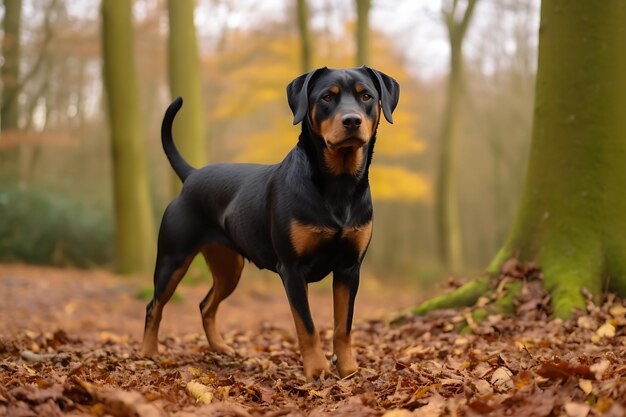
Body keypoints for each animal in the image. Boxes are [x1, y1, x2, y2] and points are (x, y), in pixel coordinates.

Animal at [139, 66, 398, 380]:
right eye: (326, 97)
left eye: (366, 96)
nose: (352, 120)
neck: (339, 185)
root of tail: (191, 176)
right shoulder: (293, 270)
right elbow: (307, 327)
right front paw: (317, 370)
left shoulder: (349, 268)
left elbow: (343, 326)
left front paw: (348, 369)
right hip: (173, 259)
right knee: (154, 305)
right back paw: (148, 352)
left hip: (229, 267)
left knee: (206, 305)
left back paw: (220, 348)